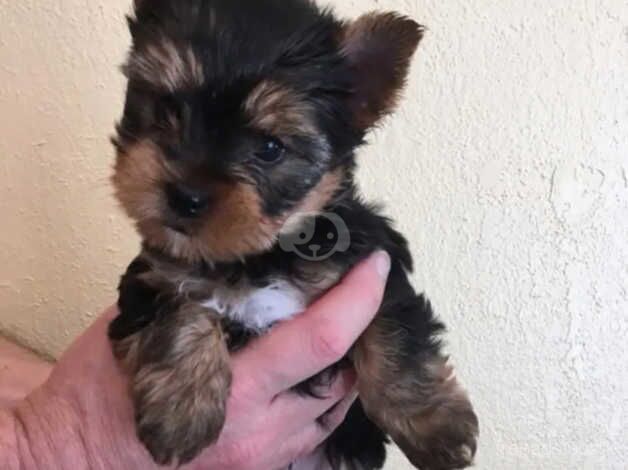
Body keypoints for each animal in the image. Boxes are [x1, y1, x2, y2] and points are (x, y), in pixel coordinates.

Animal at [110, 0, 478, 470]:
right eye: (165, 110)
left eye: (270, 149)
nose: (185, 196)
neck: (261, 254)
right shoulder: (150, 276)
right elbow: (179, 305)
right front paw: (180, 410)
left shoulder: (375, 265)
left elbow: (396, 335)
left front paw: (435, 427)